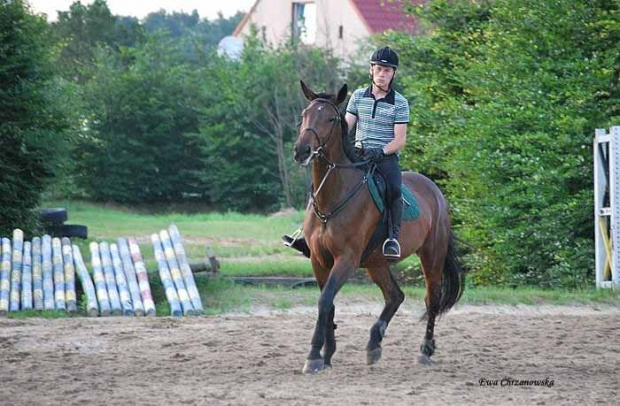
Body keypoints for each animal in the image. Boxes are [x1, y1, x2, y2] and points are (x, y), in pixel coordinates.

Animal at [296, 80, 464, 374]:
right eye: (305, 115)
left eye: (330, 119)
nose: (301, 151)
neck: (333, 197)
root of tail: (436, 192)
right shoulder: (319, 260)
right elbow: (328, 304)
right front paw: (327, 354)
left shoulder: (346, 259)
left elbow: (325, 300)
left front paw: (314, 356)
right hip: (376, 262)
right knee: (395, 296)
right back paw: (374, 343)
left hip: (431, 256)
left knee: (431, 300)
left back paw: (425, 351)